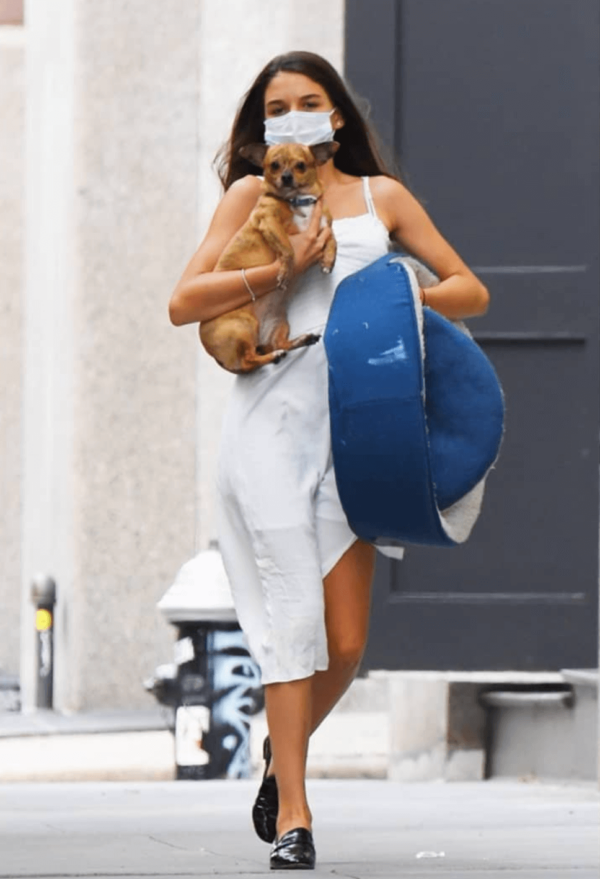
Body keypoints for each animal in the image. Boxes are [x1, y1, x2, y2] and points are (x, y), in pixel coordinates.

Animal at [200, 144, 338, 374]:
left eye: (301, 165)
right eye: (274, 165)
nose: (286, 177)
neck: (299, 201)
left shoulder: (325, 227)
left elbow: (333, 241)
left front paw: (328, 260)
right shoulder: (269, 223)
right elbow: (288, 249)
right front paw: (285, 272)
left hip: (280, 323)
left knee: (278, 344)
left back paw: (300, 340)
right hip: (243, 327)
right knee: (249, 360)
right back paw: (274, 356)